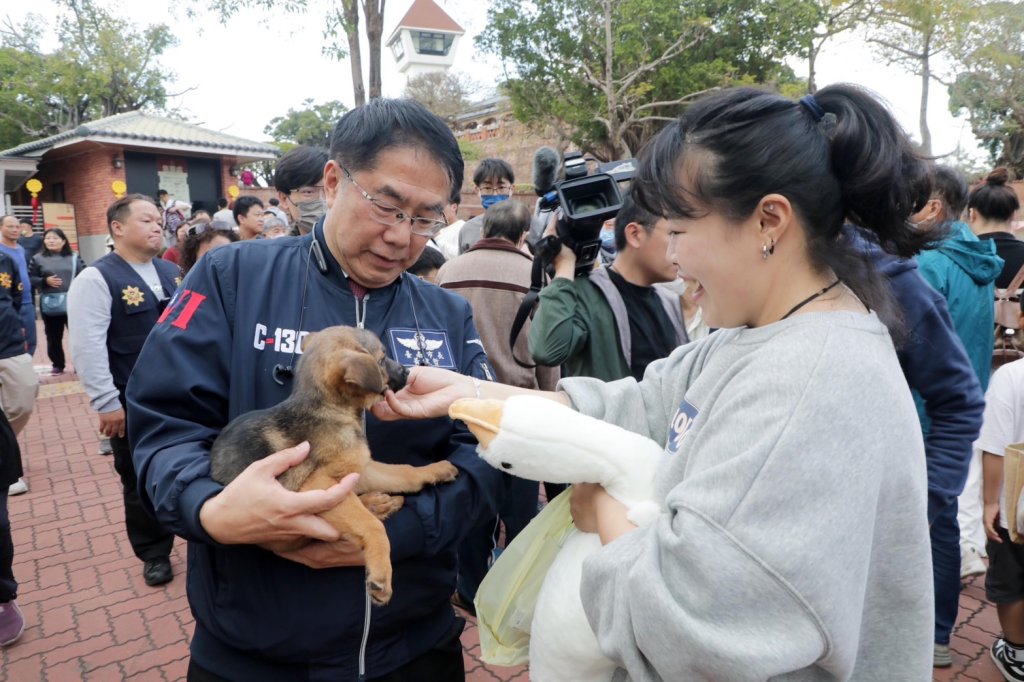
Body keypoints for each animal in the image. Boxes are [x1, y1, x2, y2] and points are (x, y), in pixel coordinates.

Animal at [209, 323, 458, 602]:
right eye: (382, 359)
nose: (409, 371)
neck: (330, 409)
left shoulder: (360, 468)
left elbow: (404, 472)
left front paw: (437, 469)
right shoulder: (315, 485)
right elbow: (372, 527)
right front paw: (381, 575)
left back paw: (378, 503)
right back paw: (375, 505)